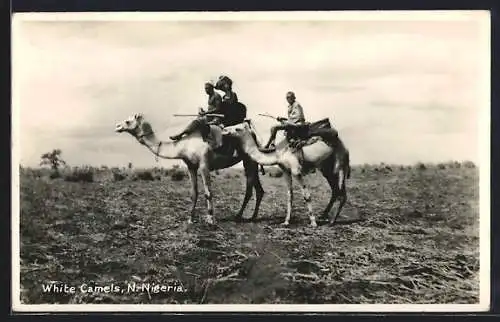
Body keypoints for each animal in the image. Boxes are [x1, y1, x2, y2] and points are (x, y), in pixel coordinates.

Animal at [114, 114, 266, 225]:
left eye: (127, 121)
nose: (117, 126)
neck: (183, 145)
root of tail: (252, 132)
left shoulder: (204, 164)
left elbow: (208, 192)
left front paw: (210, 219)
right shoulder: (191, 166)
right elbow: (194, 193)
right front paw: (190, 219)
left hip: (250, 160)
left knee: (249, 189)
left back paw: (239, 216)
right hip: (250, 161)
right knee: (258, 189)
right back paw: (252, 217)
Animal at [221, 119, 350, 228]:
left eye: (237, 128)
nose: (224, 129)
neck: (278, 154)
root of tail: (344, 146)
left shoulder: (296, 170)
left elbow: (306, 196)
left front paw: (313, 223)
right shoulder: (286, 171)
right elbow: (289, 195)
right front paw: (286, 222)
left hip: (339, 165)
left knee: (342, 193)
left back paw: (332, 221)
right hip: (327, 169)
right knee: (336, 191)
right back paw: (324, 216)